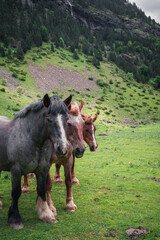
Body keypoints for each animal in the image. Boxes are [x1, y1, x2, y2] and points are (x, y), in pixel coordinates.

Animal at [0, 94, 71, 229]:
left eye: (67, 119)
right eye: (48, 119)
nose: (63, 149)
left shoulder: (42, 169)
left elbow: (42, 189)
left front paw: (46, 214)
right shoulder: (16, 170)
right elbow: (16, 193)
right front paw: (15, 219)